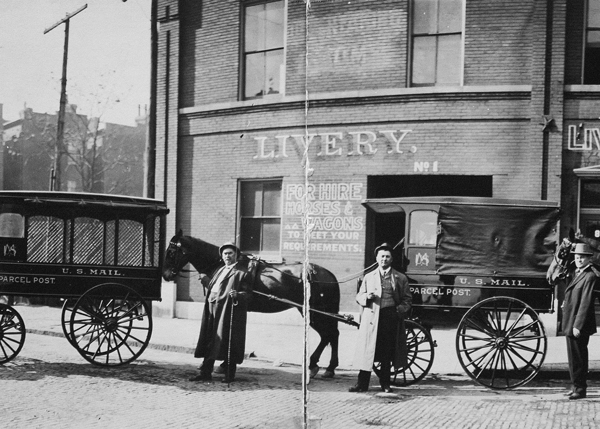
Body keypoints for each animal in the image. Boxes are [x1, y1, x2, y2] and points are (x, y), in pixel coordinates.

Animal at [162, 231, 344, 374]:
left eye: (171, 251)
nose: (166, 274)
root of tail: (328, 276)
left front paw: (223, 364)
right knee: (331, 334)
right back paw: (326, 367)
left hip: (315, 312)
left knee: (329, 334)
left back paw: (319, 366)